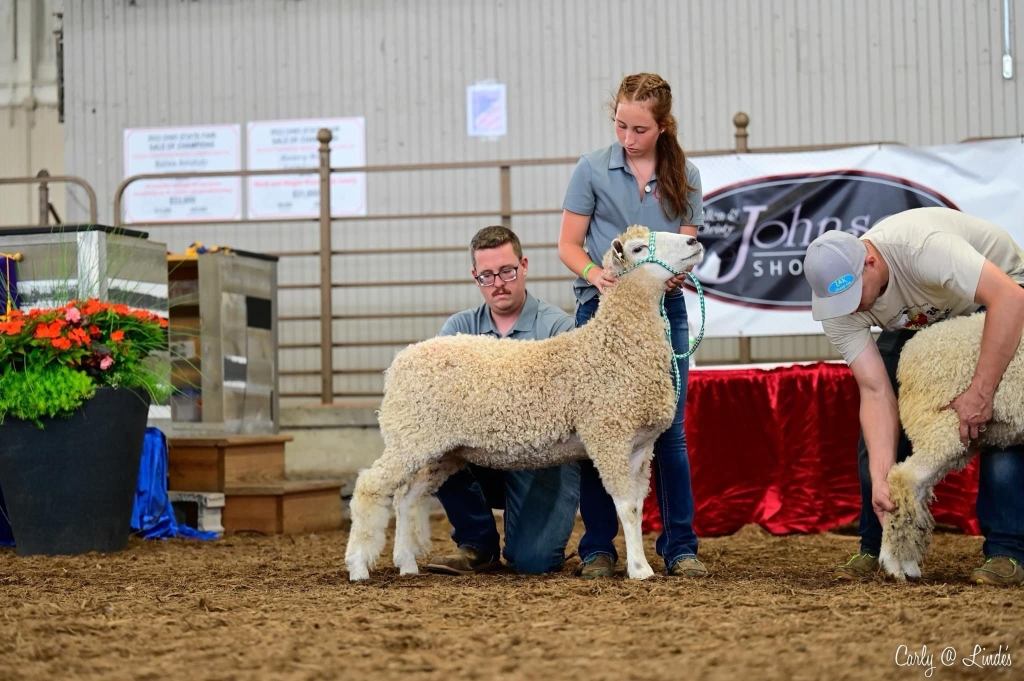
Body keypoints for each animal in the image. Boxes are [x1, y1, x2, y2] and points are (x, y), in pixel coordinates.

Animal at [346, 225, 704, 581]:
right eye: (638, 248)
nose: (693, 241)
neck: (613, 346)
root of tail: (400, 361)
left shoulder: (641, 447)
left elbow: (637, 509)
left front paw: (639, 561)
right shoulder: (609, 437)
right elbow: (626, 508)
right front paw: (640, 570)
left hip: (442, 450)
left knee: (407, 497)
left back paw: (406, 563)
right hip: (410, 437)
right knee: (370, 487)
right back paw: (359, 566)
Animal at [880, 311, 1024, 577]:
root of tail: (908, 356)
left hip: (955, 439)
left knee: (917, 488)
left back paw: (908, 564)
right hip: (942, 428)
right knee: (902, 478)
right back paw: (893, 563)